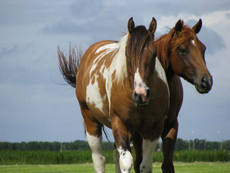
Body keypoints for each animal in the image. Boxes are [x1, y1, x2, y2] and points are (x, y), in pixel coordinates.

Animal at [57, 17, 169, 173]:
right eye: (127, 55)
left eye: (154, 54)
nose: (141, 94)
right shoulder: (120, 122)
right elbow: (126, 162)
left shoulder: (154, 128)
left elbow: (145, 165)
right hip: (91, 121)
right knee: (99, 159)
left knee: (116, 156)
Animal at [133, 18, 214, 173]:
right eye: (182, 50)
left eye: (203, 48)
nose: (206, 81)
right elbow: (138, 163)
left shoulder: (171, 125)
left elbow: (167, 165)